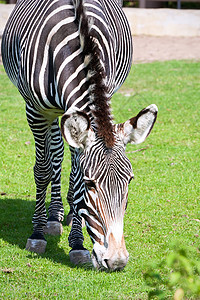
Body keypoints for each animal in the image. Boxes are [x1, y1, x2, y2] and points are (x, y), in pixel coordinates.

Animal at [1, 0, 158, 272]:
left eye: (129, 181)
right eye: (91, 184)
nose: (117, 261)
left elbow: (74, 178)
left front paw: (76, 244)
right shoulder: (35, 110)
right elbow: (42, 169)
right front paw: (37, 234)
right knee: (55, 151)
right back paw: (52, 217)